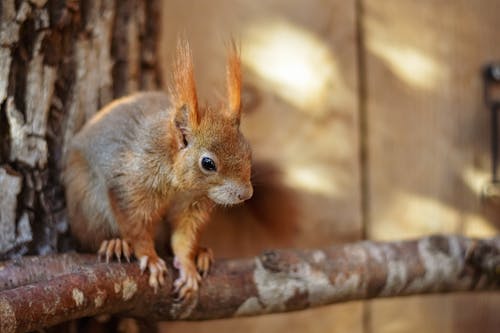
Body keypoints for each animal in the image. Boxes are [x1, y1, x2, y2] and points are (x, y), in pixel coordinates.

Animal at [64, 38, 252, 296]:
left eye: (248, 151)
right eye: (208, 163)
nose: (246, 194)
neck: (182, 187)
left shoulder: (193, 206)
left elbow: (185, 235)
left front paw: (188, 266)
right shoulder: (131, 182)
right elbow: (136, 226)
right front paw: (150, 258)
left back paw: (202, 253)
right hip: (87, 203)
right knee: (92, 238)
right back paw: (115, 243)